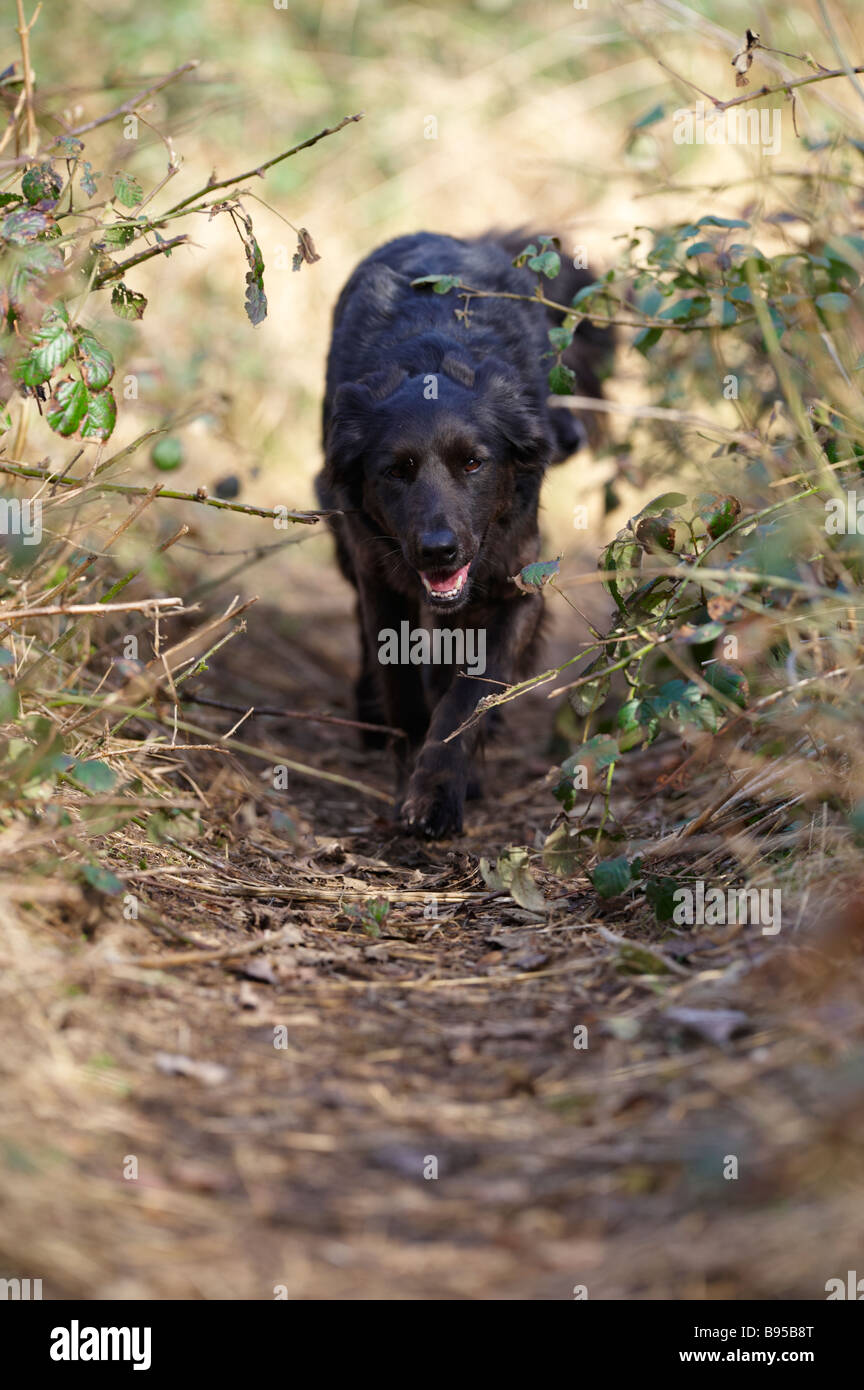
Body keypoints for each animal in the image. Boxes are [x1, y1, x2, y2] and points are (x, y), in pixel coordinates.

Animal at [316, 230, 608, 834]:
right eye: (395, 471)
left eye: (473, 463)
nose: (438, 552)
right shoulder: (381, 582)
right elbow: (403, 687)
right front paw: (408, 771)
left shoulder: (515, 589)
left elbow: (468, 696)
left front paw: (439, 792)